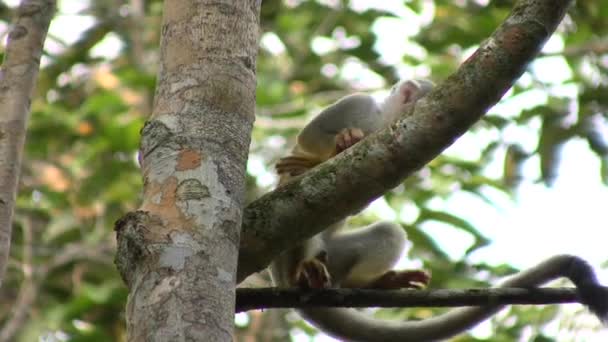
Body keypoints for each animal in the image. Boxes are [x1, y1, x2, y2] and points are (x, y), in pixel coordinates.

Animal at [270, 79, 608, 340]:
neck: (380, 125)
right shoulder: (360, 105)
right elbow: (310, 135)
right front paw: (333, 147)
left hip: (335, 261)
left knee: (386, 232)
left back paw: (369, 283)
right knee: (301, 209)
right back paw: (304, 269)